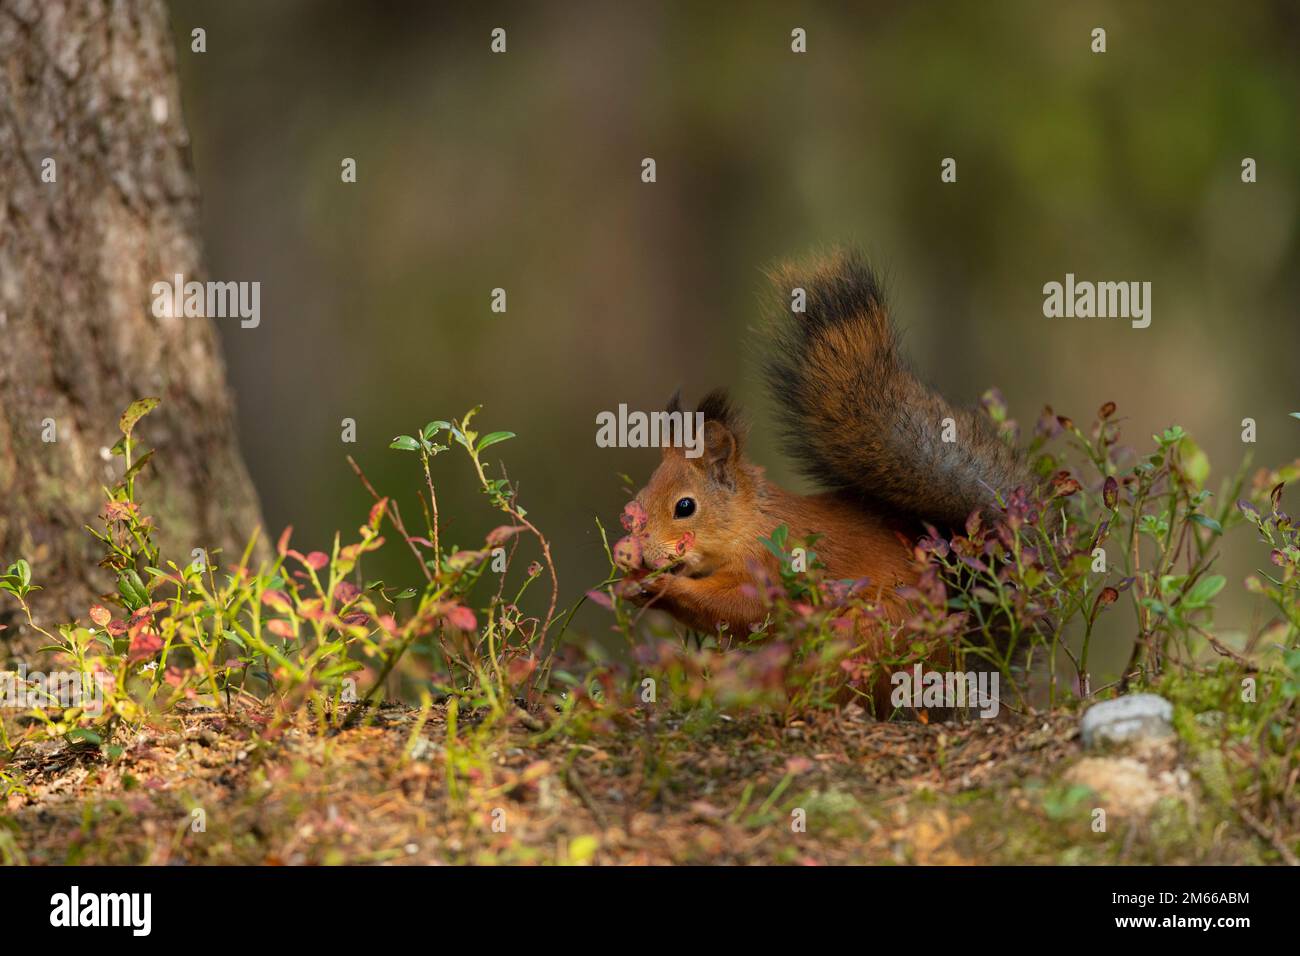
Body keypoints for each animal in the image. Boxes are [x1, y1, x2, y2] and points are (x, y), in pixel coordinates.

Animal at [616, 247, 1032, 639]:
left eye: (685, 506)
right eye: (641, 496)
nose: (641, 547)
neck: (751, 522)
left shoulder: (768, 564)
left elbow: (740, 609)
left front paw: (663, 584)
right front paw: (630, 575)